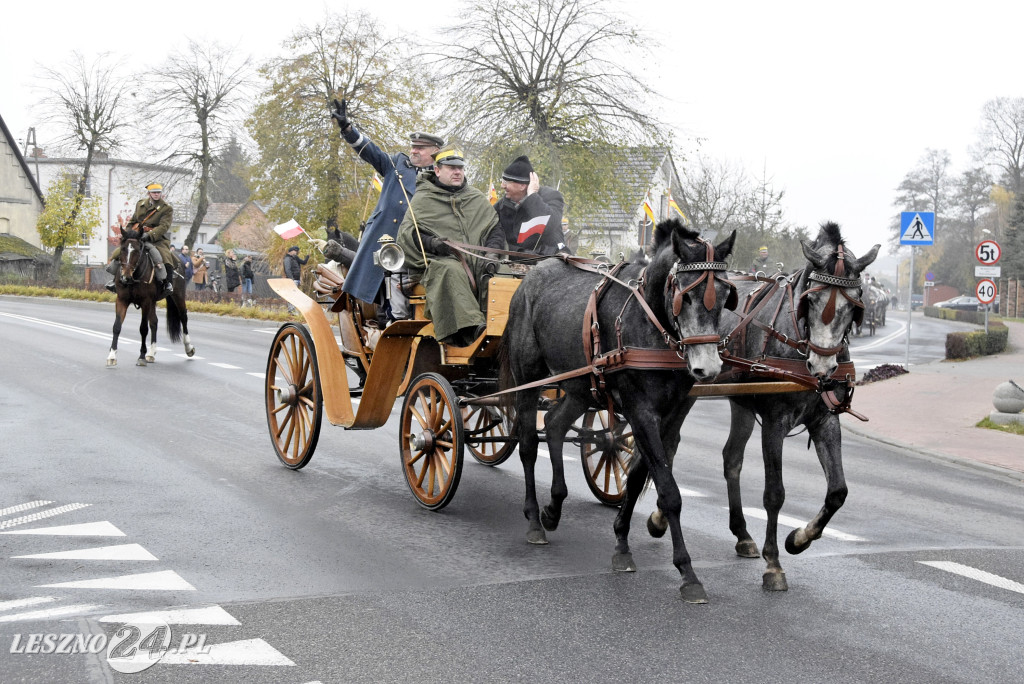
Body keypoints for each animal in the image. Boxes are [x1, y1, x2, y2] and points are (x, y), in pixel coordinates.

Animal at [107, 228, 194, 368]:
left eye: (137, 250)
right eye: (123, 249)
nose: (125, 277)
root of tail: (178, 259)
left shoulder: (145, 302)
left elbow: (143, 329)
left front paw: (141, 356)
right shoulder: (122, 300)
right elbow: (117, 326)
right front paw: (112, 356)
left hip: (178, 295)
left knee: (183, 317)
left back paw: (189, 348)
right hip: (153, 302)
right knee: (154, 322)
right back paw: (152, 353)